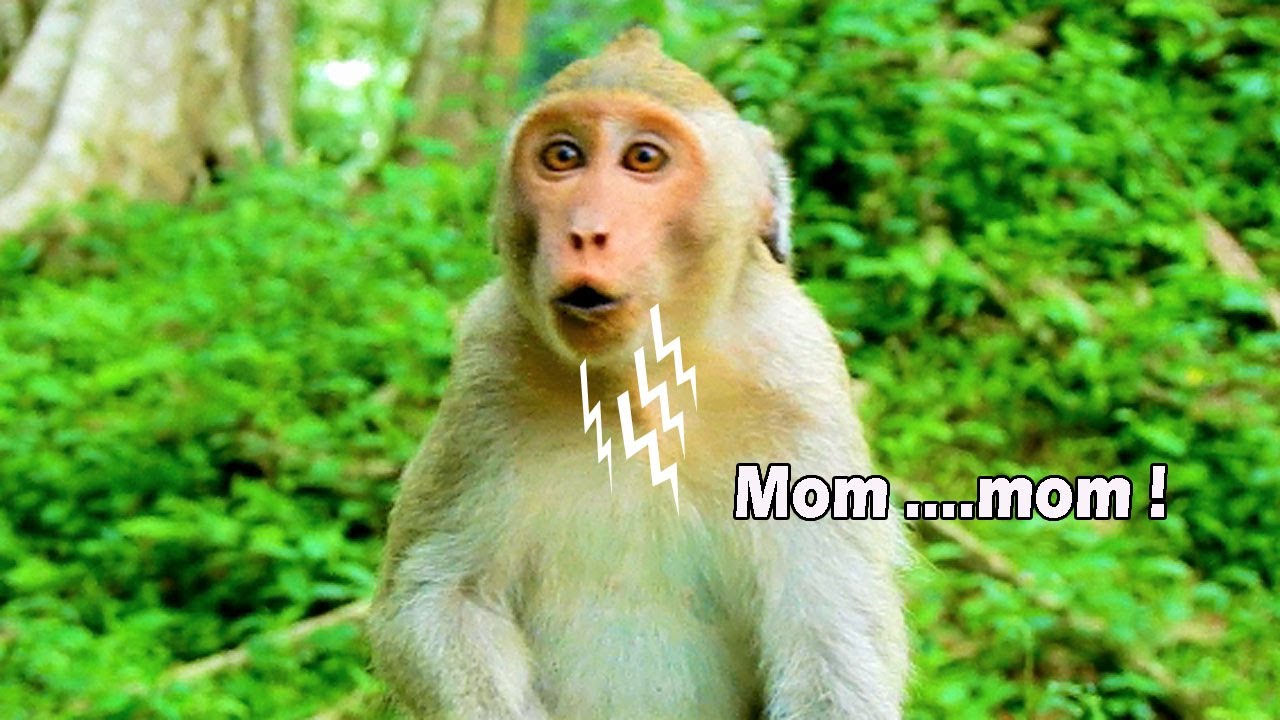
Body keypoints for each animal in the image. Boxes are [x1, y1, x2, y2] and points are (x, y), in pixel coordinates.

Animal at [367, 28, 909, 720]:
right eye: (563, 155)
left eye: (644, 158)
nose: (585, 231)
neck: (639, 385)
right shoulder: (488, 363)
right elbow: (437, 599)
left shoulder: (798, 377)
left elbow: (830, 641)